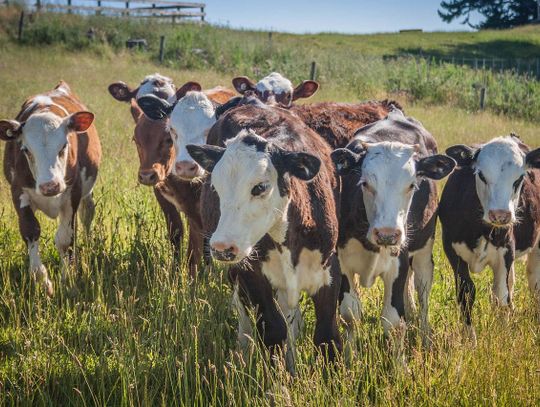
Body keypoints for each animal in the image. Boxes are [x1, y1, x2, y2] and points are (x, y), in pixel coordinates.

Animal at [0, 80, 101, 296]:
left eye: (63, 146)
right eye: (26, 150)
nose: (50, 186)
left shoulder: (73, 193)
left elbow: (65, 239)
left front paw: (67, 280)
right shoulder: (18, 192)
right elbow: (30, 230)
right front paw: (43, 281)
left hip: (87, 193)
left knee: (87, 213)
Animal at [188, 103, 344, 372]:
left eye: (260, 187)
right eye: (215, 186)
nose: (222, 247)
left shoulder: (328, 269)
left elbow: (327, 337)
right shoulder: (251, 273)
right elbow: (273, 330)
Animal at [332, 110, 454, 350]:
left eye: (412, 185)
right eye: (365, 183)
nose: (387, 234)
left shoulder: (398, 262)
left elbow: (394, 322)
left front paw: (399, 360)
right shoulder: (342, 260)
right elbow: (350, 314)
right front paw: (349, 355)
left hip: (423, 249)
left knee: (423, 287)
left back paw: (425, 336)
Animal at [438, 135, 540, 344]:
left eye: (519, 178)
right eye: (482, 175)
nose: (500, 215)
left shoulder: (506, 252)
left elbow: (502, 295)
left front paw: (503, 335)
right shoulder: (453, 252)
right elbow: (466, 292)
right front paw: (471, 340)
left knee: (533, 280)